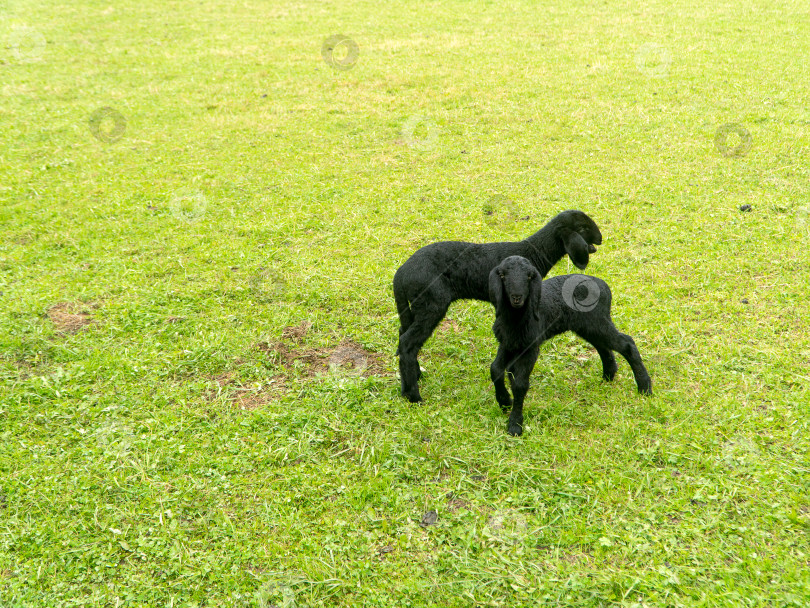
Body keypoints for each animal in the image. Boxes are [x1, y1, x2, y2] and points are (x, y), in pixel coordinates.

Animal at [392, 209, 600, 404]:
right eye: (582, 228)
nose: (600, 238)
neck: (533, 253)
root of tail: (400, 274)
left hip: (414, 307)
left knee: (403, 334)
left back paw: (410, 383)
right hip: (431, 304)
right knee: (408, 342)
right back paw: (414, 396)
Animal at [486, 256, 652, 436]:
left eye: (529, 276)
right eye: (502, 275)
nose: (517, 297)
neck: (516, 319)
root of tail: (605, 287)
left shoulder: (531, 346)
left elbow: (520, 384)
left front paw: (515, 424)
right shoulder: (508, 343)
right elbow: (495, 369)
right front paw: (504, 401)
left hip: (597, 321)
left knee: (627, 344)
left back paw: (644, 387)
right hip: (588, 326)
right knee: (603, 346)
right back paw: (609, 375)